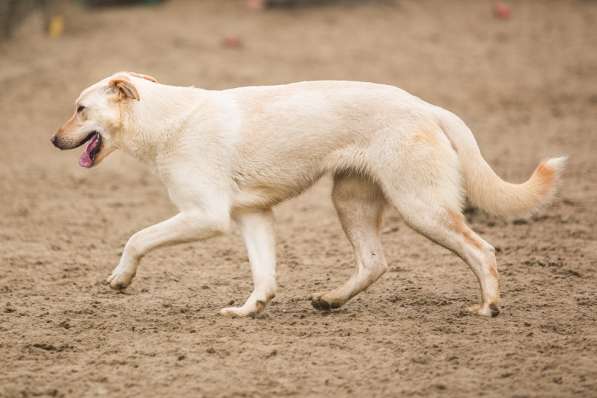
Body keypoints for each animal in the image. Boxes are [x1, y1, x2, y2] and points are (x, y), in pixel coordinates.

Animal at [50, 72, 564, 318]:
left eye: (80, 109)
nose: (53, 140)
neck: (165, 122)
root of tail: (426, 106)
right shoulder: (253, 216)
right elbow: (264, 276)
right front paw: (249, 310)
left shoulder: (206, 216)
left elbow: (137, 238)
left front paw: (120, 279)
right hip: (352, 202)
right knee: (375, 262)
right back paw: (330, 301)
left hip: (422, 207)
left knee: (483, 249)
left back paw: (488, 306)